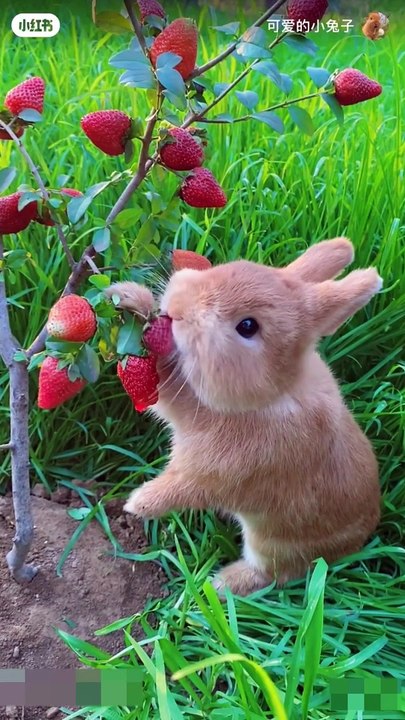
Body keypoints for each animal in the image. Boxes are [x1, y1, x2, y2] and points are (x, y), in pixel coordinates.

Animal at [107, 238, 382, 596]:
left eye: (247, 326)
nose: (177, 307)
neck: (271, 396)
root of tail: (356, 542)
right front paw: (129, 297)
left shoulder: (213, 471)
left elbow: (179, 487)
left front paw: (137, 504)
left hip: (272, 542)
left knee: (274, 573)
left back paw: (222, 584)